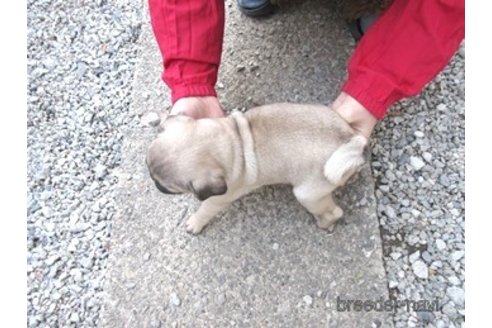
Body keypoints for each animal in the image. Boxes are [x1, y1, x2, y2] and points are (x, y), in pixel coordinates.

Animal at [144, 104, 368, 234]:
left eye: (167, 187)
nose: (154, 183)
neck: (232, 140)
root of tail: (351, 141)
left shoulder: (220, 198)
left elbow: (205, 209)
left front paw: (195, 222)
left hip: (308, 194)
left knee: (334, 211)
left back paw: (325, 223)